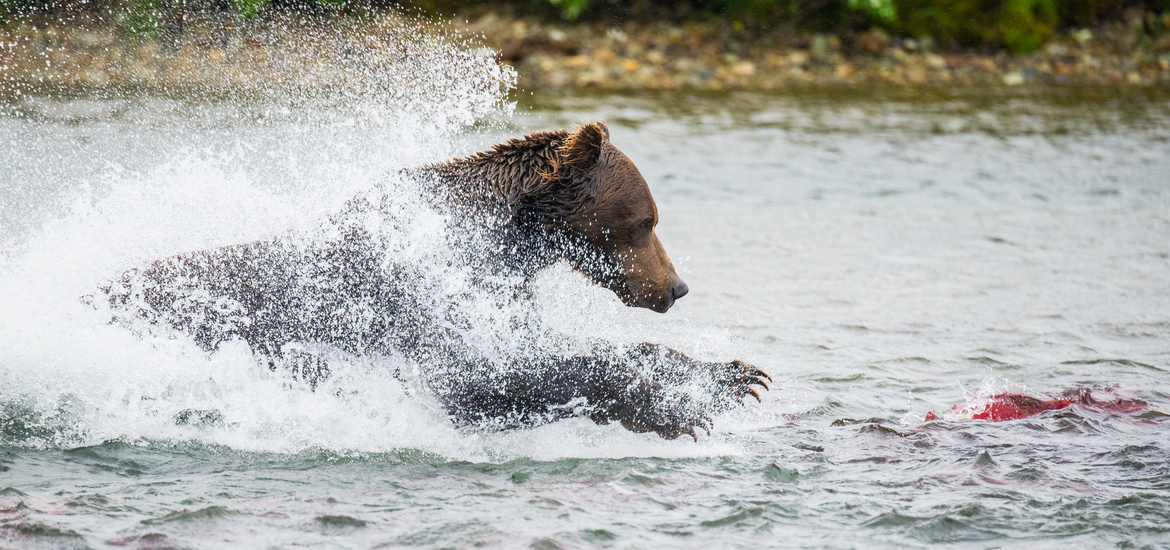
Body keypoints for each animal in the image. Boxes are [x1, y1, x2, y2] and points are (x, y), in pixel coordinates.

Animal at [98, 121, 770, 440]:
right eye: (645, 221)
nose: (677, 288)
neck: (502, 239)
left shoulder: (501, 293)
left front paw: (734, 378)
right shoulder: (419, 300)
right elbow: (481, 373)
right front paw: (674, 410)